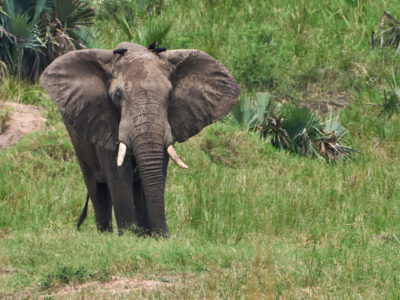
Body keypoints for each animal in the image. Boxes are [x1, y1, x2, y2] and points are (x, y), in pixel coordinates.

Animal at [39, 41, 241, 237]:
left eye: (170, 96)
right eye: (118, 95)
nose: (165, 235)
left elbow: (156, 170)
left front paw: (147, 237)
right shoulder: (104, 117)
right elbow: (118, 172)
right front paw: (129, 235)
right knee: (97, 188)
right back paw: (106, 234)